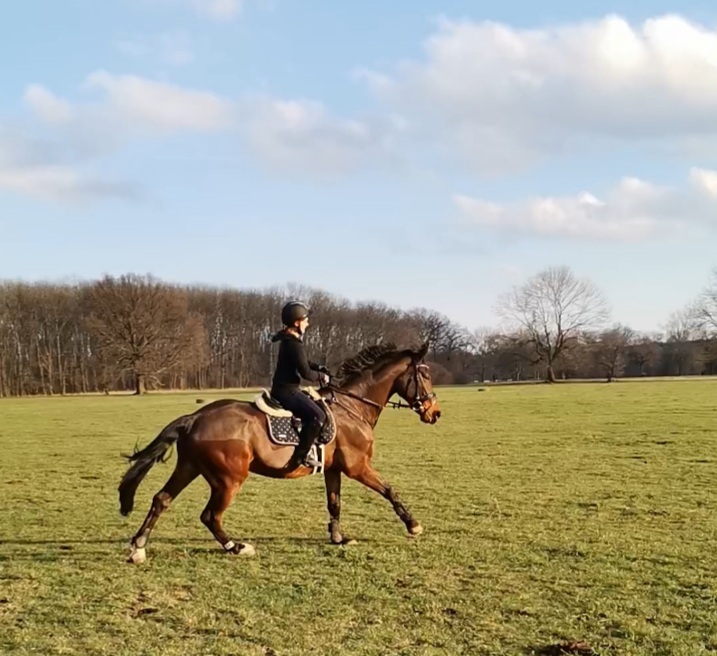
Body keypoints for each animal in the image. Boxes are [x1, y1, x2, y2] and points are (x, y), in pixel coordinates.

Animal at [118, 341, 442, 563]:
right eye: (425, 374)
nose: (435, 413)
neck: (353, 406)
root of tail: (195, 417)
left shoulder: (334, 469)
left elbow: (334, 503)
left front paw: (338, 538)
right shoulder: (358, 467)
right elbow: (389, 490)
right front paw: (413, 525)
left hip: (190, 467)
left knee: (161, 500)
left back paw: (138, 548)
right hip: (228, 479)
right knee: (210, 515)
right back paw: (236, 547)